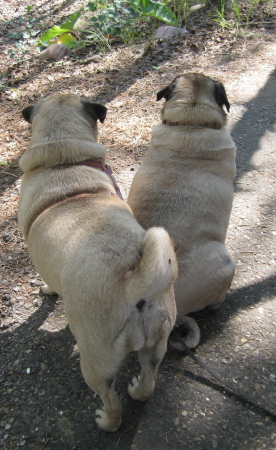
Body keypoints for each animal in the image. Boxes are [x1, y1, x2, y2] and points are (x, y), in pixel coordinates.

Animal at [18, 93, 177, 430]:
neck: (62, 160)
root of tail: (132, 285)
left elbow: (48, 283)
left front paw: (47, 292)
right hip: (156, 344)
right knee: (148, 379)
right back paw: (137, 389)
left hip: (94, 362)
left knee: (110, 400)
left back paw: (106, 420)